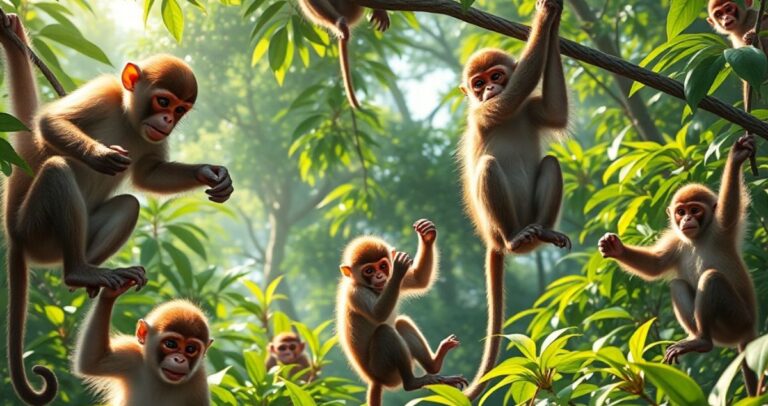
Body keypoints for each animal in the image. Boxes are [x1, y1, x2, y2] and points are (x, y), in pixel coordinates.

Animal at [74, 281, 213, 405]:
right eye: (170, 344)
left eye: (190, 349)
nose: (179, 360)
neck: (159, 378)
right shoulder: (131, 355)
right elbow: (93, 361)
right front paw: (110, 293)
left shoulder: (198, 382)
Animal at [336, 219, 467, 406]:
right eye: (369, 270)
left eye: (383, 266)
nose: (379, 276)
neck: (372, 289)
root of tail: (375, 380)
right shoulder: (356, 293)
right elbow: (378, 315)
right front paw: (399, 267)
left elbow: (420, 280)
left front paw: (427, 235)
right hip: (385, 371)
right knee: (386, 332)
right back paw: (412, 382)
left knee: (401, 323)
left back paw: (434, 365)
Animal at [457, 0, 569, 399]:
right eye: (478, 84)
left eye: (495, 76)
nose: (489, 89)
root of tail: (492, 239)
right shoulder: (482, 113)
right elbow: (514, 96)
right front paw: (545, 17)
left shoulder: (532, 109)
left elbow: (555, 112)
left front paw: (555, 17)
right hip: (499, 224)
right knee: (489, 166)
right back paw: (515, 239)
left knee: (550, 163)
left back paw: (544, 232)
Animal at [598, 134, 758, 396]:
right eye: (681, 212)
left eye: (694, 209)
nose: (687, 219)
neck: (698, 238)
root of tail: (748, 333)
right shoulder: (677, 242)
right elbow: (655, 266)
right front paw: (615, 249)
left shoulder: (722, 227)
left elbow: (730, 202)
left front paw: (736, 158)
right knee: (677, 284)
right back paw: (696, 338)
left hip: (737, 320)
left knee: (711, 278)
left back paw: (702, 342)